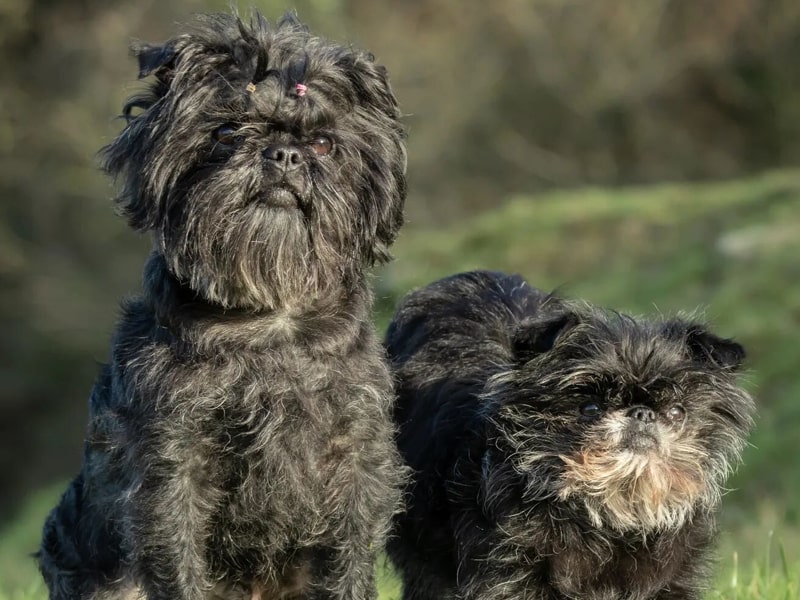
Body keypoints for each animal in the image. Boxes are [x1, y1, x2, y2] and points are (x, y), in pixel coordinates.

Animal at [37, 10, 406, 600]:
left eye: (325, 144)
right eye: (228, 132)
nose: (285, 154)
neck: (269, 319)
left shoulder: (353, 460)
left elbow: (346, 565)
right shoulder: (172, 470)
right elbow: (178, 564)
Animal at [388, 274, 756, 600]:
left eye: (677, 412)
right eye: (590, 408)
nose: (641, 413)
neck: (606, 517)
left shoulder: (670, 578)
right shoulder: (508, 572)